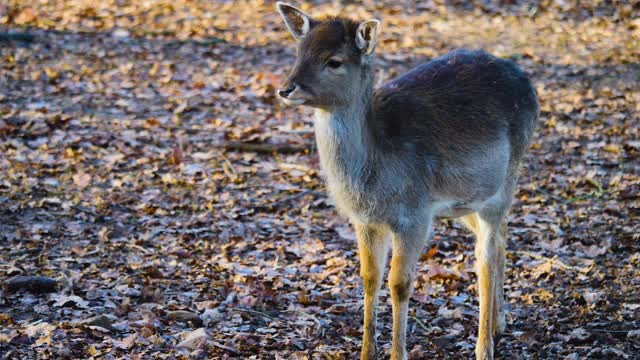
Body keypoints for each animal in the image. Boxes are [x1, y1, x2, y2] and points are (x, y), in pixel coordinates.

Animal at [276, 3, 540, 360]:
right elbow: (369, 277)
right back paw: (499, 323)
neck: (374, 178)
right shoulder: (366, 220)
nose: (285, 88)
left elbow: (399, 283)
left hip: (504, 181)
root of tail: (527, 82)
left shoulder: (414, 215)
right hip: (468, 198)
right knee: (500, 239)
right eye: (298, 52)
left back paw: (484, 347)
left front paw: (396, 353)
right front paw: (366, 352)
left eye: (334, 61)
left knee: (484, 258)